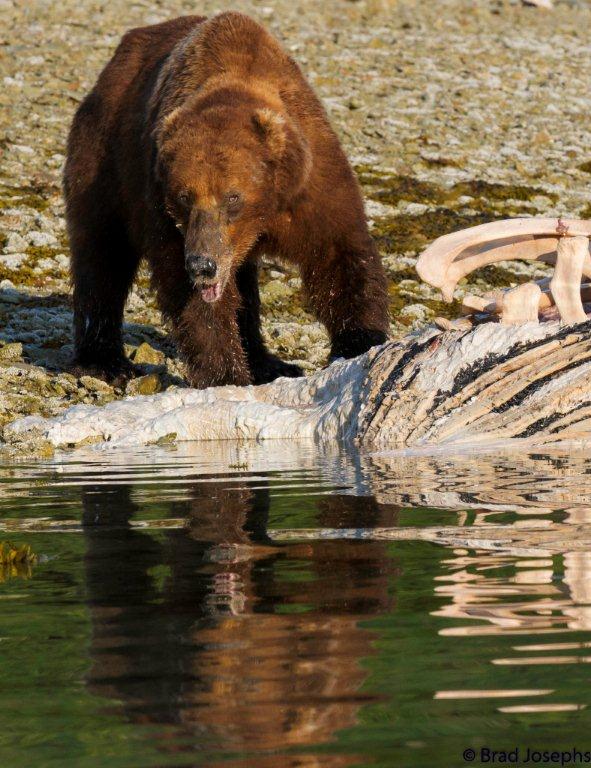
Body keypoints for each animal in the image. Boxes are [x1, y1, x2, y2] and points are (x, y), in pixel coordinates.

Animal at [63, 9, 388, 388]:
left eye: (232, 197)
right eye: (184, 196)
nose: (203, 265)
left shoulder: (312, 185)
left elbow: (339, 255)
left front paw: (359, 343)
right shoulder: (161, 203)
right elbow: (195, 299)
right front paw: (228, 375)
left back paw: (268, 362)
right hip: (104, 159)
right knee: (102, 253)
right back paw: (104, 362)